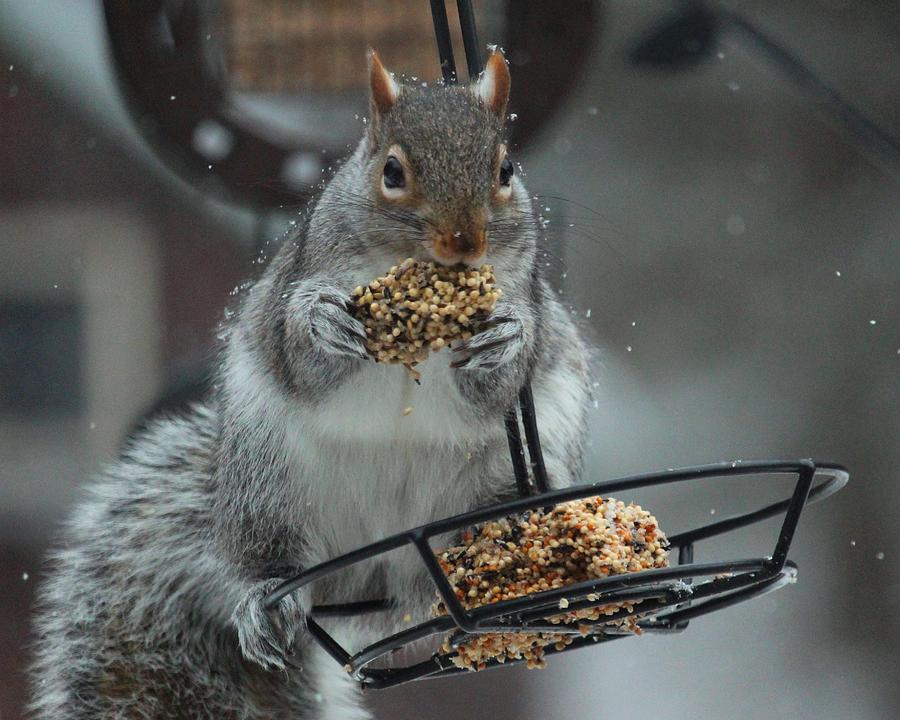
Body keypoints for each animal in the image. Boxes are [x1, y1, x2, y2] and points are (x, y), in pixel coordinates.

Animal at [28, 47, 592, 716]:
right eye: (392, 171)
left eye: (505, 169)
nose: (464, 243)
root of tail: (385, 567)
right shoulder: (298, 281)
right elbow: (299, 353)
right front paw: (321, 321)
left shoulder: (525, 302)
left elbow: (503, 385)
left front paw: (505, 336)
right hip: (267, 478)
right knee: (268, 567)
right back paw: (263, 600)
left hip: (506, 471)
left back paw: (501, 553)